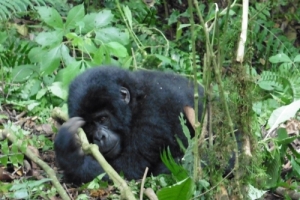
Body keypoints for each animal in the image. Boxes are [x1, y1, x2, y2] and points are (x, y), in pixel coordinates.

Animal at [54, 66, 204, 184]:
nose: (99, 137)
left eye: (102, 119)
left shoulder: (152, 114)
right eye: (89, 127)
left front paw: (68, 152)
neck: (135, 103)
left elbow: (124, 171)